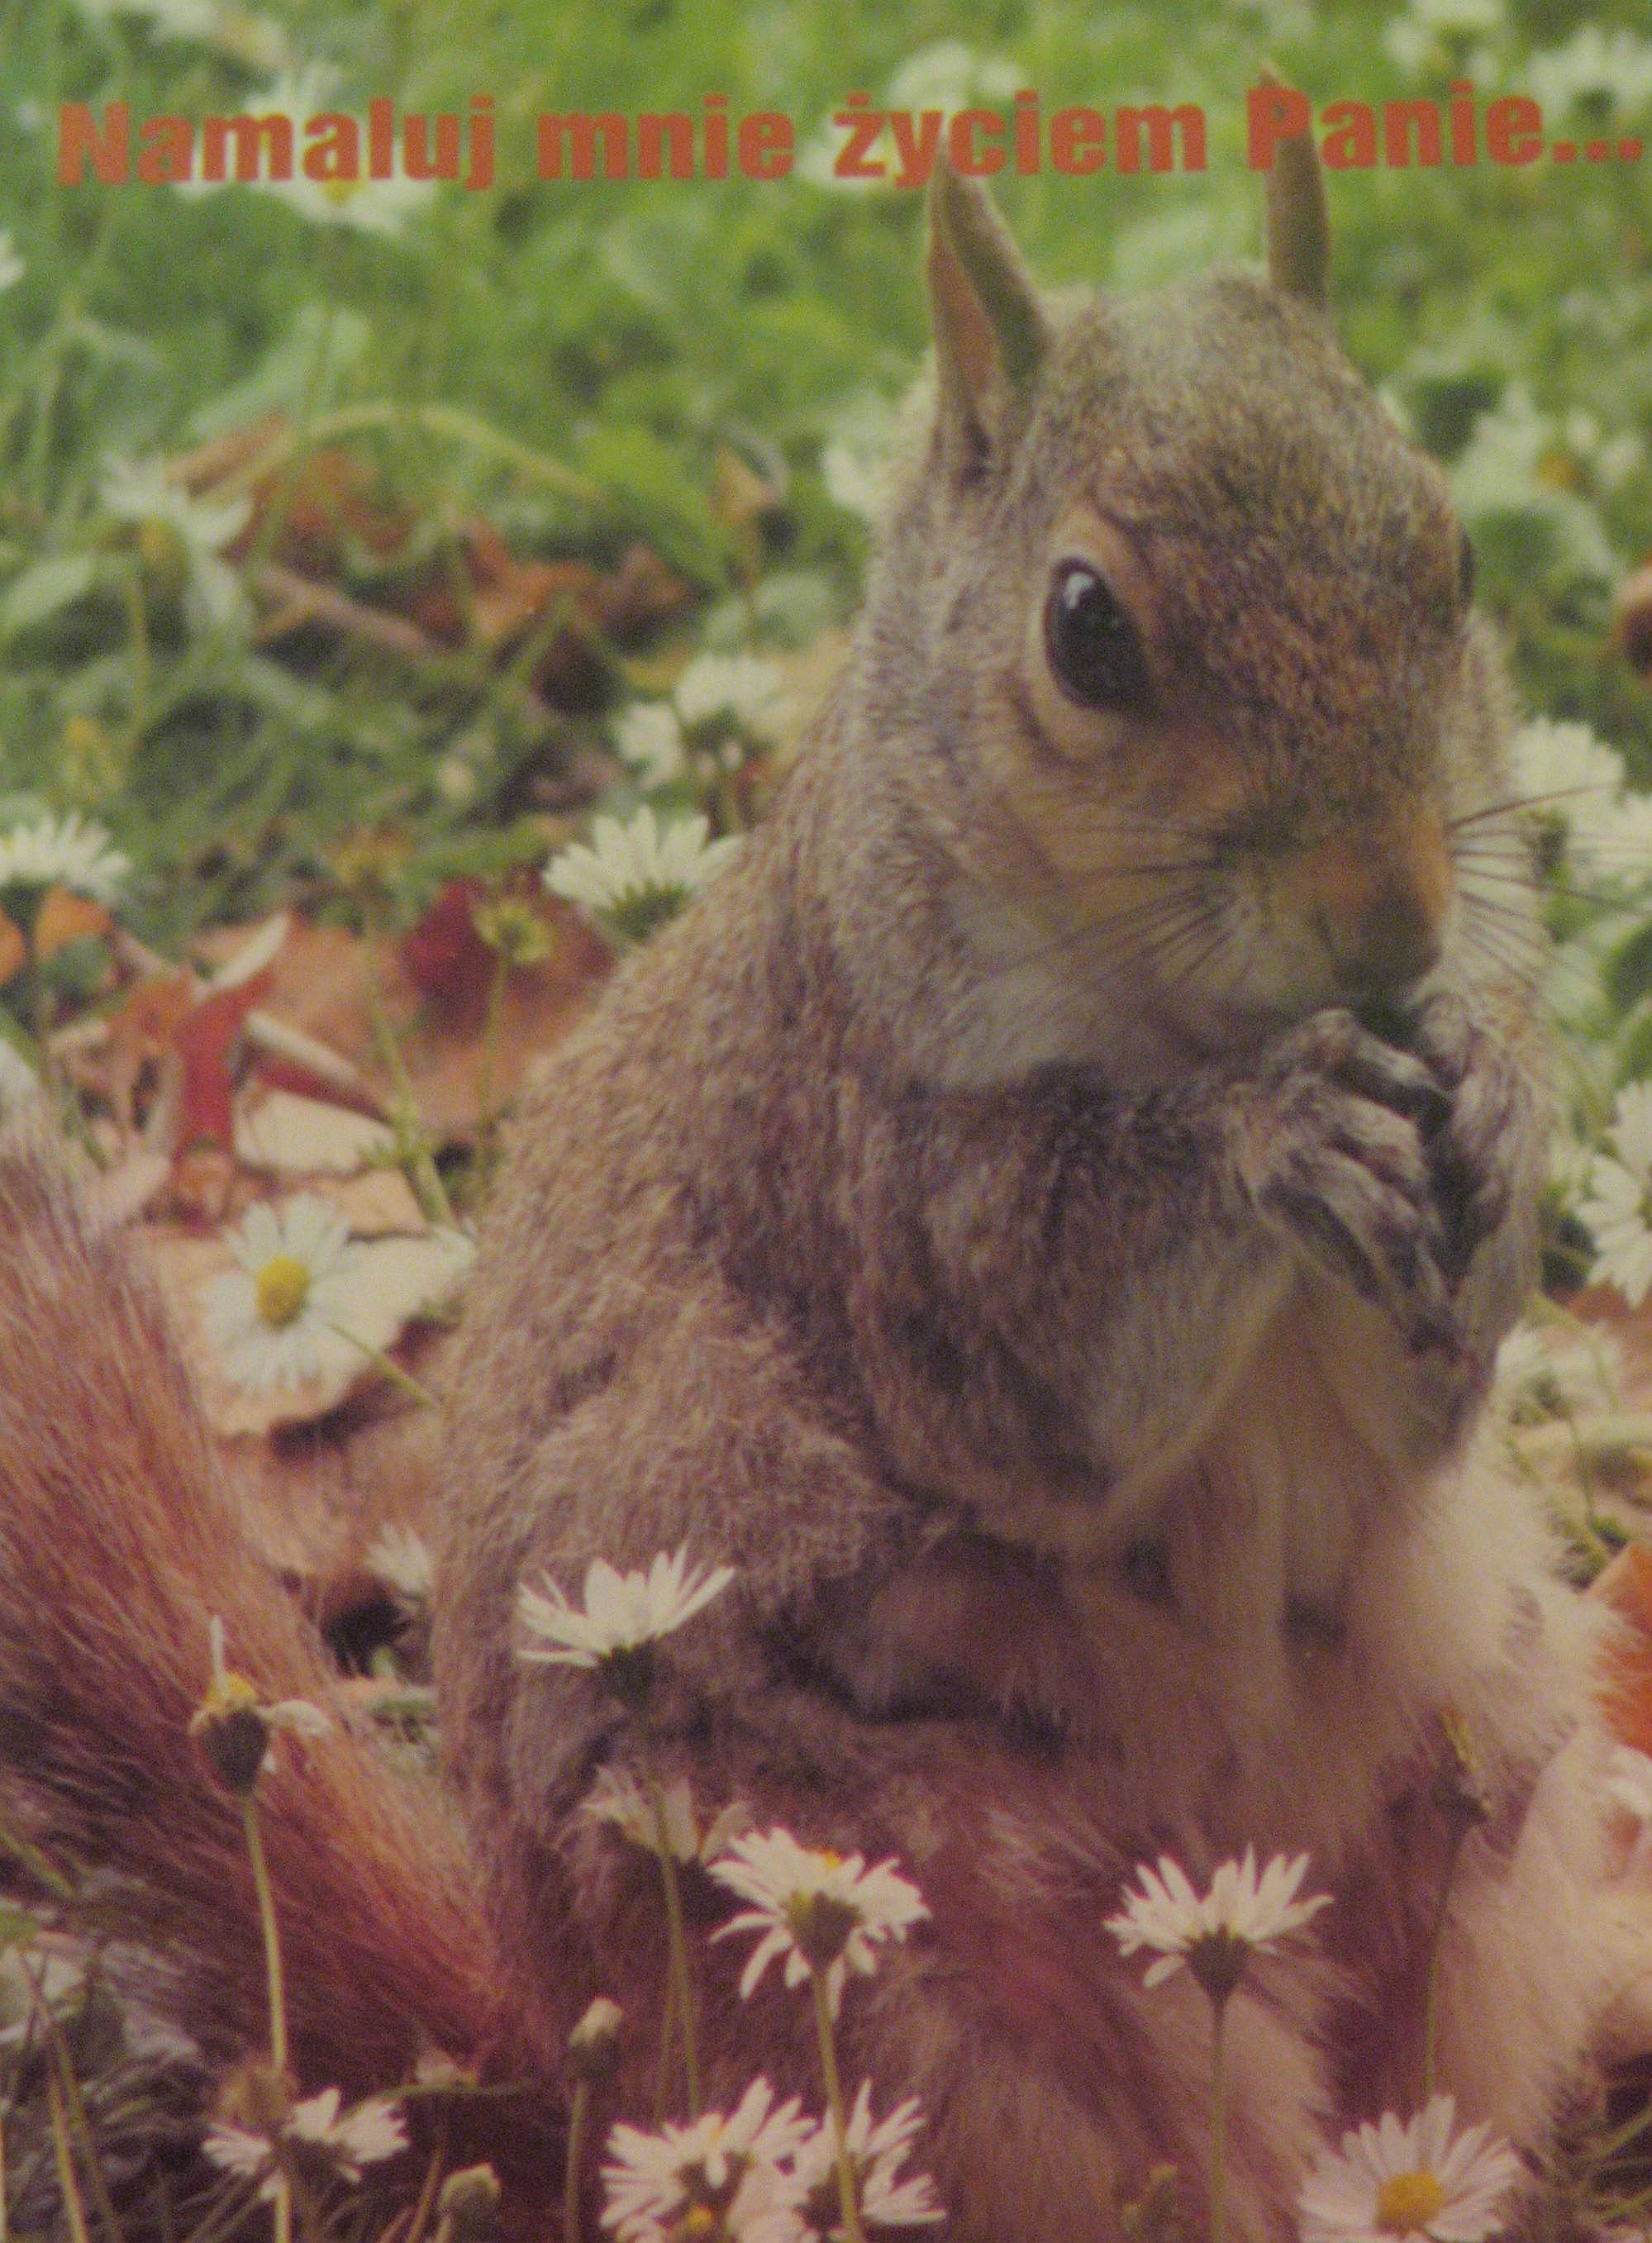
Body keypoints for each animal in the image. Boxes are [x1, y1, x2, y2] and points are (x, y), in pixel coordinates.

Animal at [0, 145, 1640, 2243]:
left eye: (1449, 560)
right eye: (1086, 629)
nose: (1391, 917)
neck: (1177, 1006)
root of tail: (585, 2072)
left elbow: (1416, 1395)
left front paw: (1498, 1095)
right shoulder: (877, 1176)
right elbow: (1041, 1361)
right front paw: (1261, 1132)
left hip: (1487, 1786)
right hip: (933, 1961)